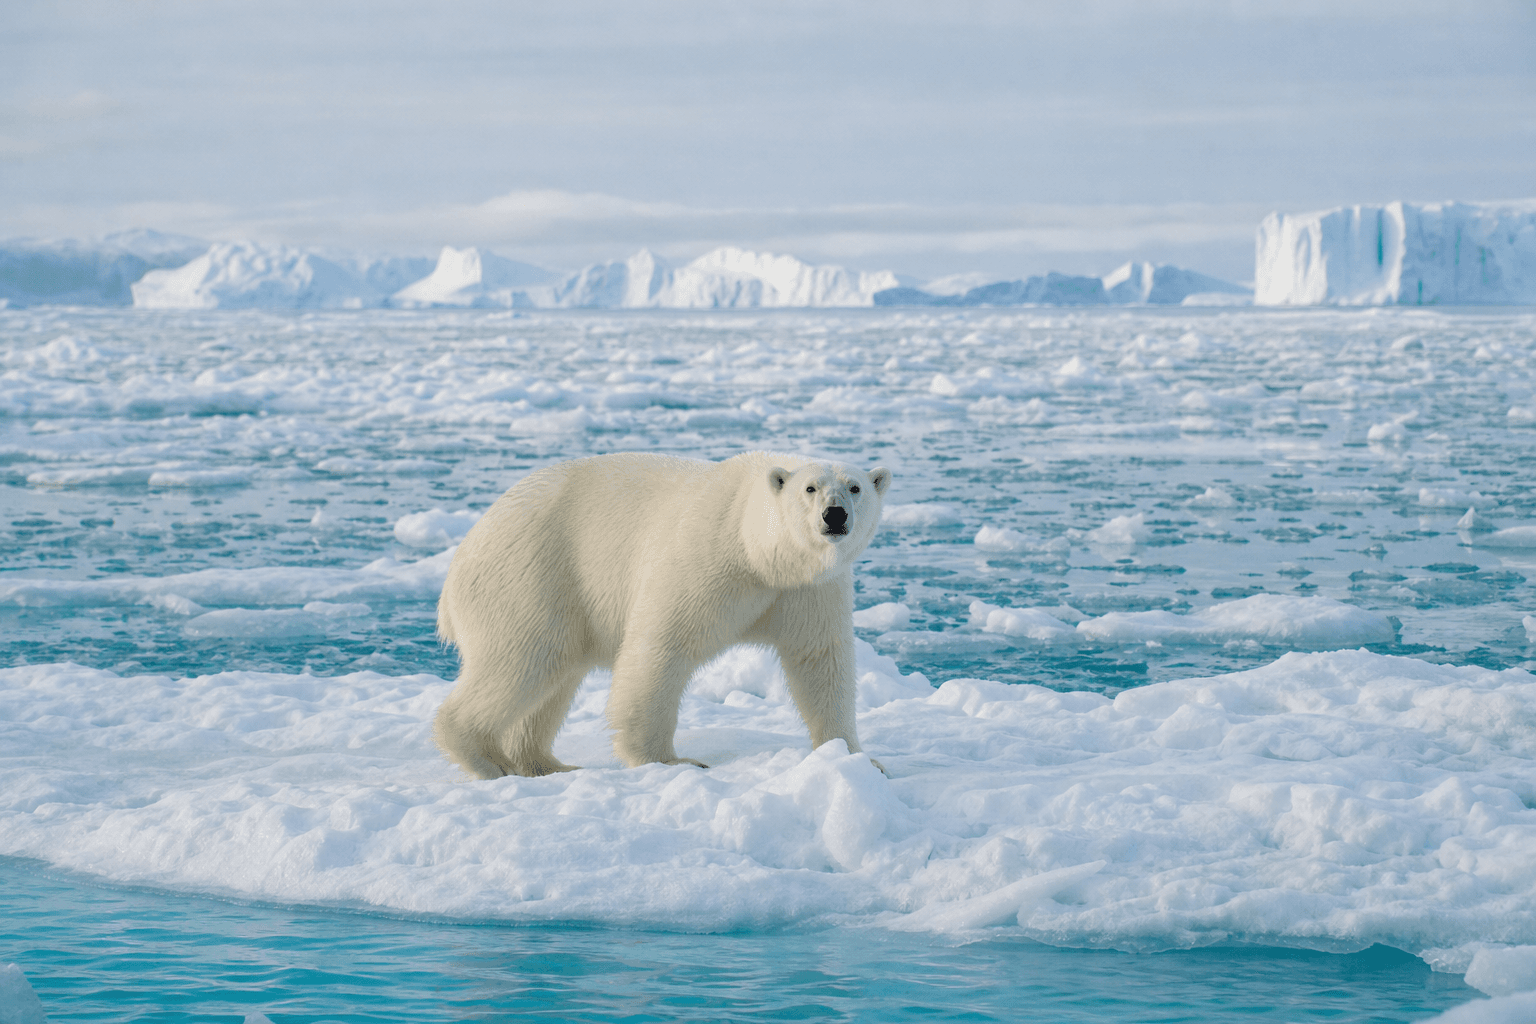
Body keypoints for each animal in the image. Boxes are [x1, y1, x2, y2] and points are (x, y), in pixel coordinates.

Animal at [432, 450, 892, 779]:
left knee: (552, 679)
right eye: (811, 488)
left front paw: (855, 757)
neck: (760, 555)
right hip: (530, 577)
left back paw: (544, 763)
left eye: (855, 487)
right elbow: (662, 647)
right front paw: (670, 761)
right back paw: (487, 760)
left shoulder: (807, 591)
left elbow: (820, 661)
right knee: (522, 660)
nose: (835, 514)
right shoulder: (708, 560)